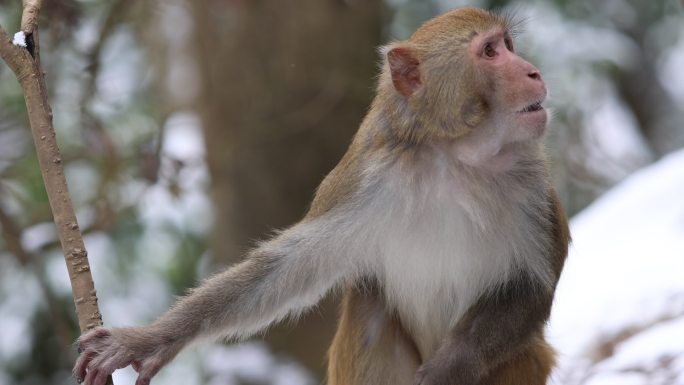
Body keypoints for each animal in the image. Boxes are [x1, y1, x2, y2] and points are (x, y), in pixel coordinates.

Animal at [73, 7, 572, 384]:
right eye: (490, 52)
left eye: (507, 45)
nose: (533, 71)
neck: (455, 157)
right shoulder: (365, 180)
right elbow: (288, 267)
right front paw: (152, 339)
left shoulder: (532, 185)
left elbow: (532, 288)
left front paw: (443, 372)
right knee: (371, 313)